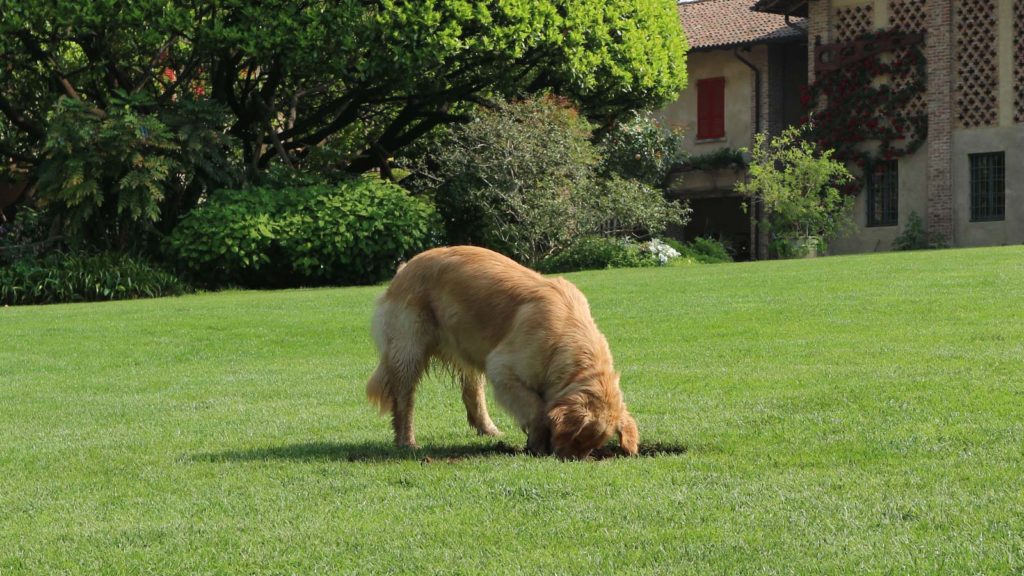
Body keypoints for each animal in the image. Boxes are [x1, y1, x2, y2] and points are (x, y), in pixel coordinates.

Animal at [368, 243, 634, 455]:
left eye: (593, 446)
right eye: (577, 437)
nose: (568, 458)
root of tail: (405, 267)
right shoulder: (502, 368)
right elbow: (536, 408)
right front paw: (537, 443)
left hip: (469, 347)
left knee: (472, 394)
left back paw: (488, 429)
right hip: (408, 351)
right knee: (404, 401)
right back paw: (407, 441)